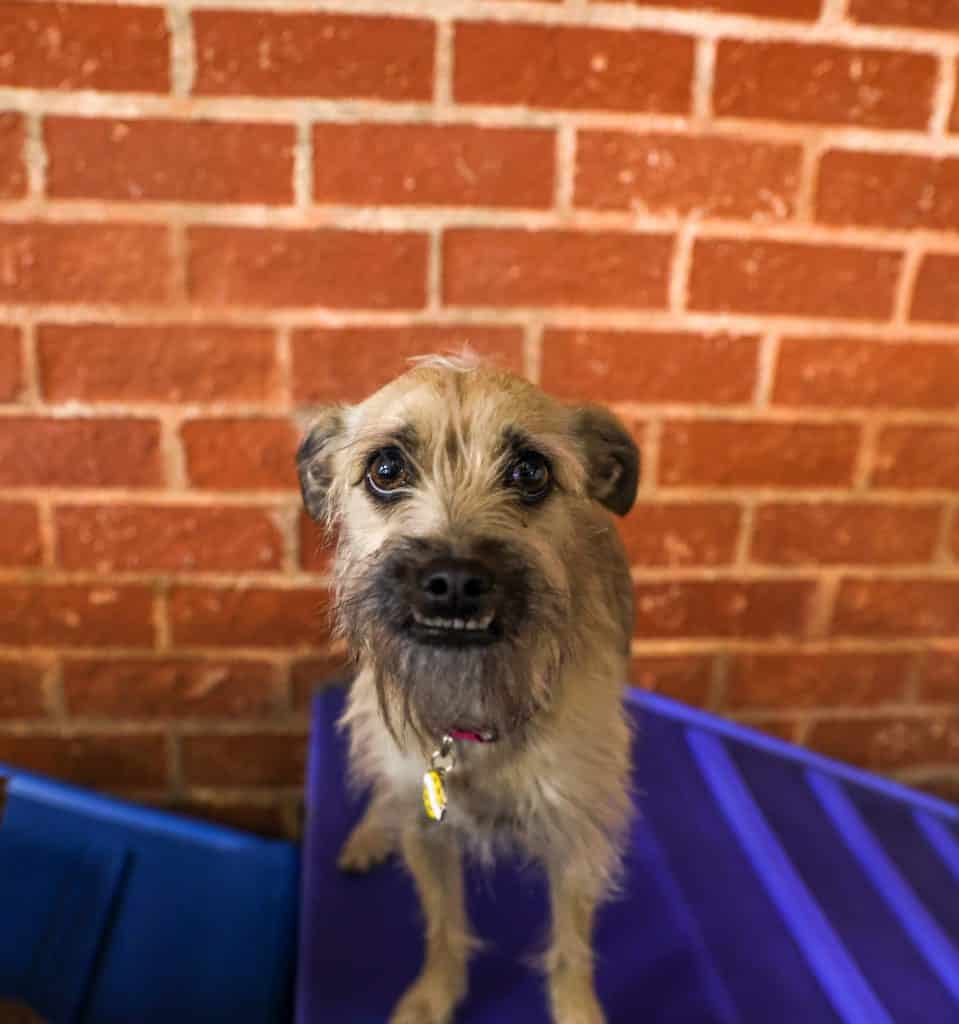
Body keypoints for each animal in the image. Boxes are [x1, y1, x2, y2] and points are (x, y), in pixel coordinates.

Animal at [292, 354, 634, 1024]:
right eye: (386, 469)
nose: (452, 581)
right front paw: (432, 996)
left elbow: (570, 948)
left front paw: (576, 1008)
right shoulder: (427, 828)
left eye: (530, 471)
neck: (472, 703)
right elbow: (443, 926)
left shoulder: (576, 839)